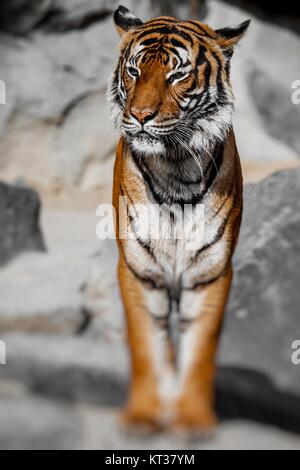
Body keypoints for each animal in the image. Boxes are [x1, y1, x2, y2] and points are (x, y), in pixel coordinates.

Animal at [106, 5, 250, 432]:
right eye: (134, 71)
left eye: (177, 75)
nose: (139, 116)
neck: (176, 166)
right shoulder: (139, 270)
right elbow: (145, 345)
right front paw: (142, 416)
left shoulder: (210, 272)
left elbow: (200, 348)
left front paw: (191, 420)